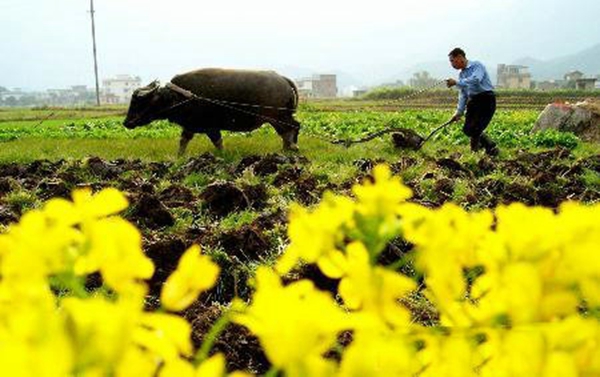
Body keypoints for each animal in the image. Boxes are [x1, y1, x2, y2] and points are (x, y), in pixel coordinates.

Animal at [123, 68, 300, 154]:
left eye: (138, 102)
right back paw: (288, 149)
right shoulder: (192, 127)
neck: (178, 97)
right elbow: (184, 142)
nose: (126, 123)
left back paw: (290, 148)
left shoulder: (209, 127)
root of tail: (283, 79)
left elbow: (217, 143)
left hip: (277, 117)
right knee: (292, 128)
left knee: (292, 128)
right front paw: (179, 157)